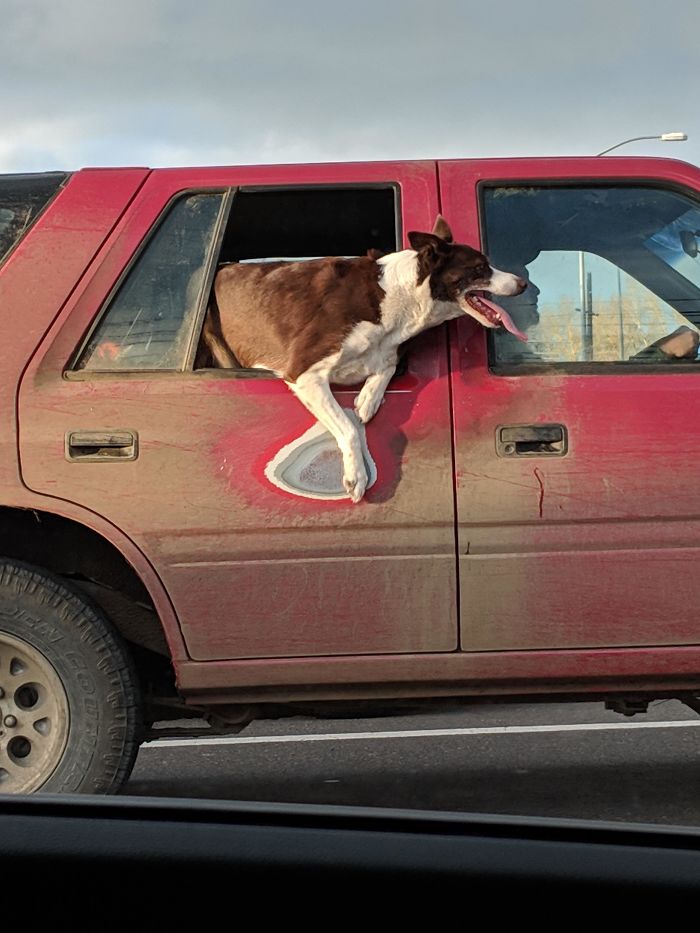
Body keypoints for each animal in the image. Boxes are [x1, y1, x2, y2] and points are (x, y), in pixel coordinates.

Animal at [201, 216, 524, 502]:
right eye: (480, 267)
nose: (524, 283)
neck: (400, 297)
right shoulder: (304, 373)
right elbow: (348, 427)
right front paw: (356, 476)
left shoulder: (387, 351)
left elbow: (386, 366)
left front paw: (368, 399)